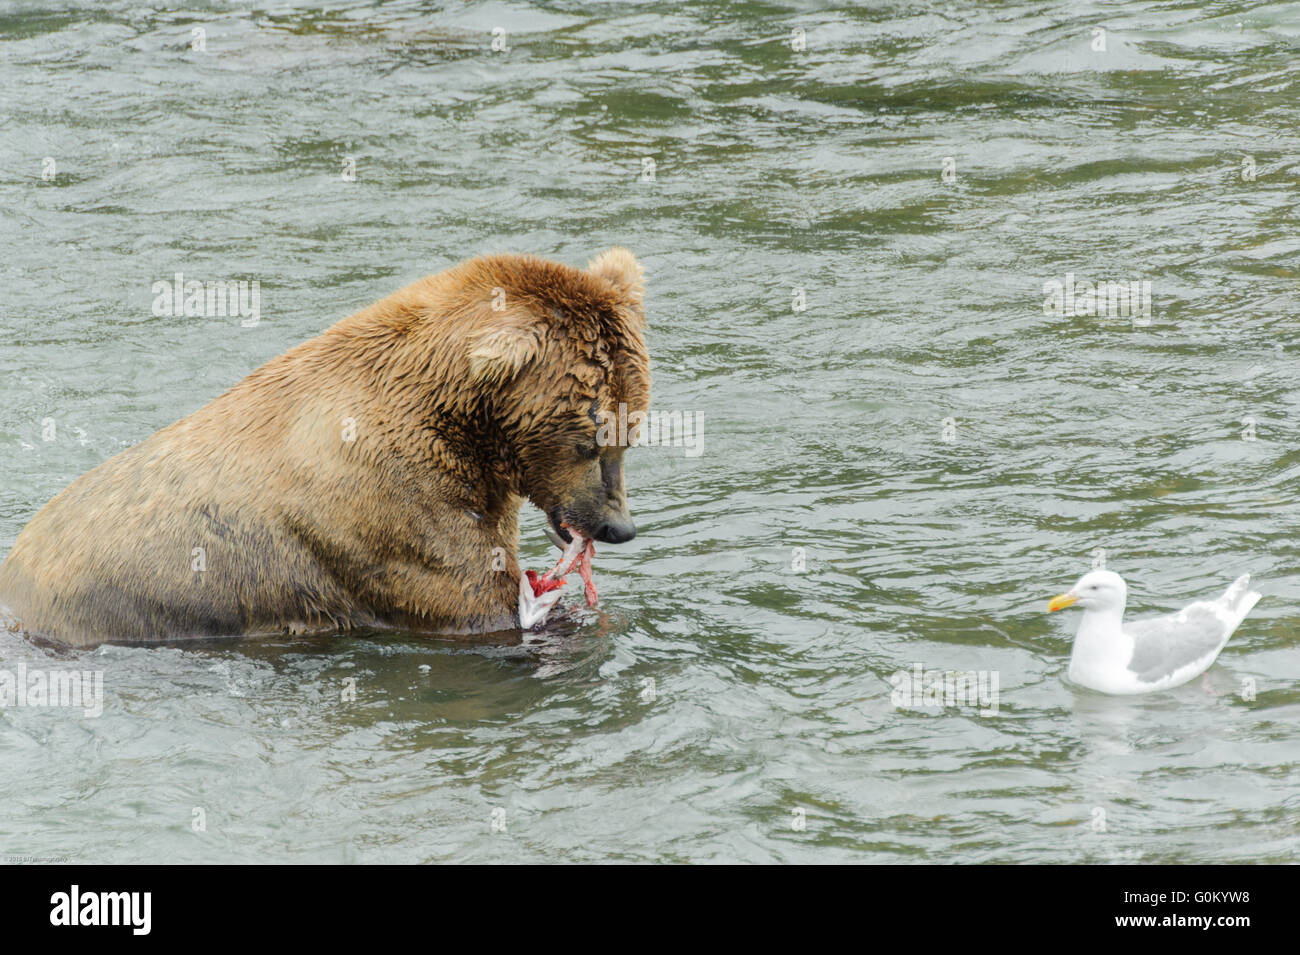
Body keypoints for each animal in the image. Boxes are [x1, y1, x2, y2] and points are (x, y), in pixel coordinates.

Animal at [0, 248, 650, 647]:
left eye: (633, 429)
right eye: (590, 438)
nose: (618, 526)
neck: (462, 425)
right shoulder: (387, 507)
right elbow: (468, 602)